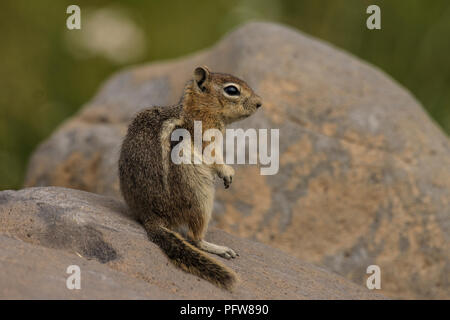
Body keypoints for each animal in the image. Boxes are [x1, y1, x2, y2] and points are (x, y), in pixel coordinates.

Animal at [118, 65, 262, 290]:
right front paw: (228, 172)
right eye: (232, 90)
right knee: (194, 238)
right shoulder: (207, 138)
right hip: (200, 193)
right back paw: (219, 248)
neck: (198, 109)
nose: (259, 103)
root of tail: (151, 217)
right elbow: (215, 159)